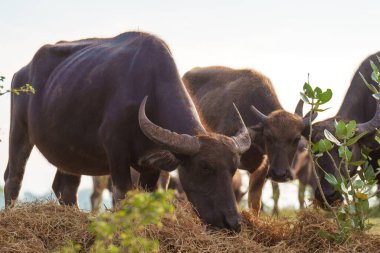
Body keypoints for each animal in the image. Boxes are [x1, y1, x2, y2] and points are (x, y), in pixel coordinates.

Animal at [4, 31, 252, 231]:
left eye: (233, 168)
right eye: (205, 167)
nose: (233, 223)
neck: (148, 89)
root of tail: (23, 72)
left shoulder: (153, 165)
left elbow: (147, 198)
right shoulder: (116, 151)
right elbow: (123, 196)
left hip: (69, 153)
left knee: (66, 188)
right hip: (19, 130)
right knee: (13, 177)